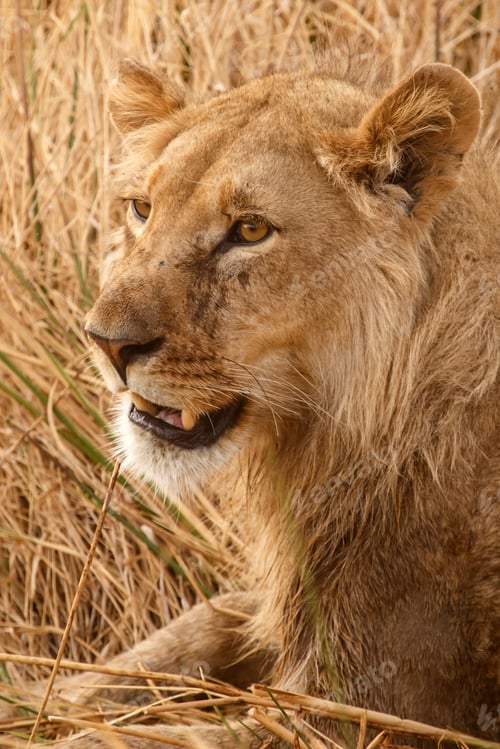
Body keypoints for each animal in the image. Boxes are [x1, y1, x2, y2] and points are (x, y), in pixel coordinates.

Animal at [9, 58, 500, 747]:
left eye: (250, 230)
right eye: (141, 209)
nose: (104, 341)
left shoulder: (365, 708)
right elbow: (200, 623)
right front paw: (32, 695)